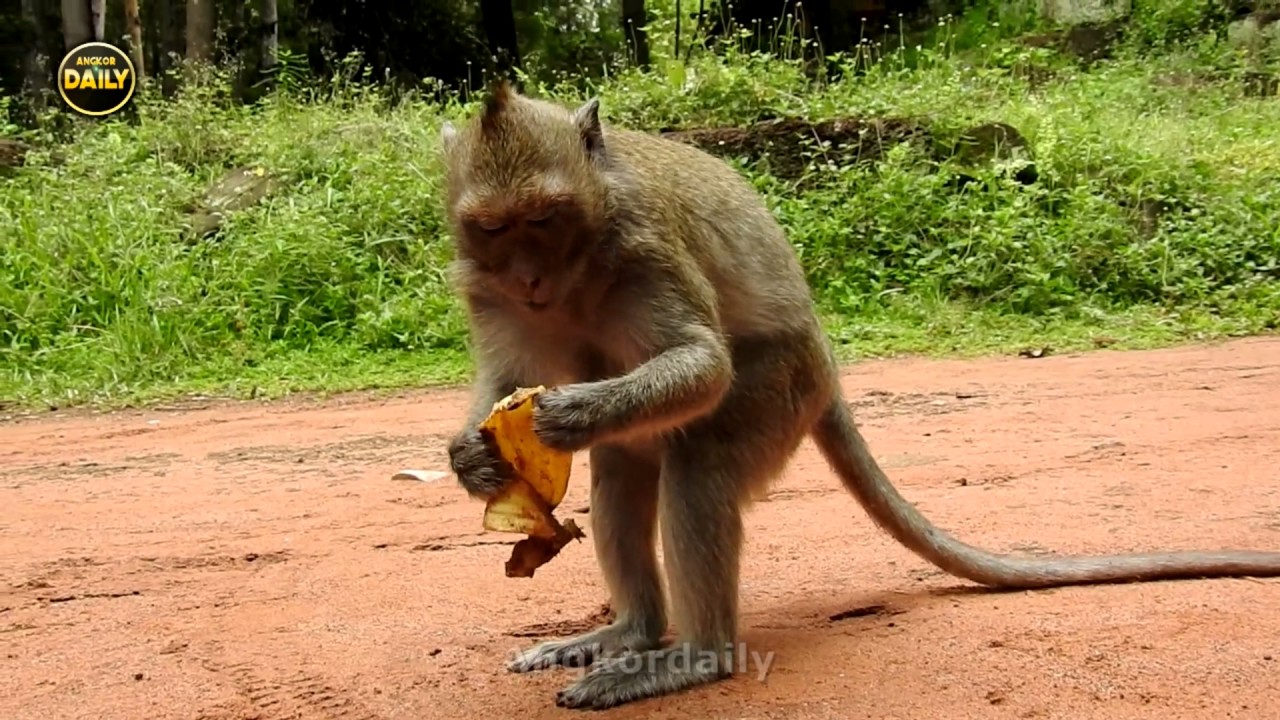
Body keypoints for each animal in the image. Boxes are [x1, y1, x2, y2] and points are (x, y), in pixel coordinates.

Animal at [436, 81, 1280, 711]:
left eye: (545, 218)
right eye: (496, 228)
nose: (530, 278)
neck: (580, 264)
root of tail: (824, 360)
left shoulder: (642, 246)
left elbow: (705, 365)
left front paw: (573, 410)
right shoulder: (485, 288)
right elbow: (506, 382)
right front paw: (470, 456)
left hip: (781, 386)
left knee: (701, 465)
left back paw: (694, 657)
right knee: (621, 471)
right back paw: (633, 633)